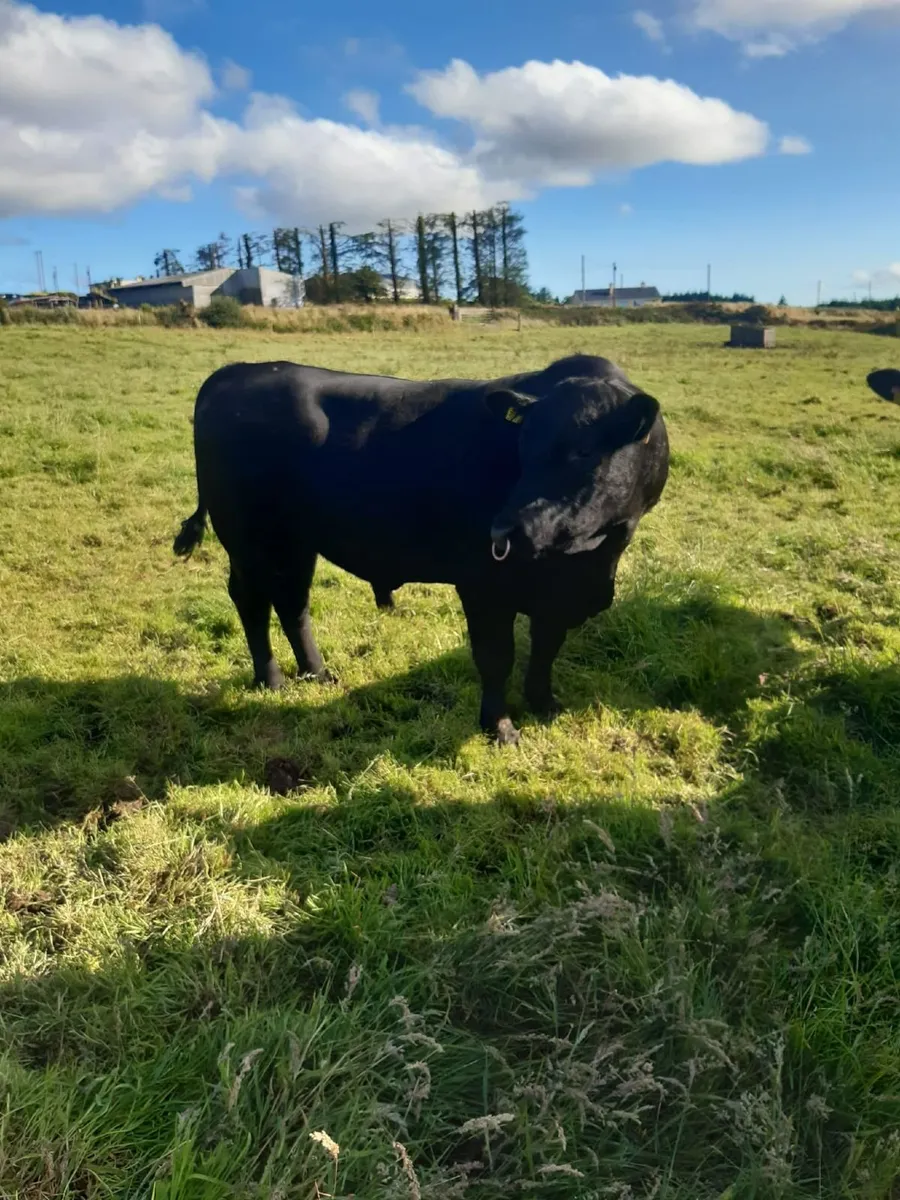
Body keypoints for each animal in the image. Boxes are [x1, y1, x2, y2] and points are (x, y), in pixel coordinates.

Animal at [173, 353, 669, 745]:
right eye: (523, 446)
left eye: (584, 451)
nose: (504, 531)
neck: (592, 559)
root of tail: (240, 370)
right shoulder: (483, 585)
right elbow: (496, 658)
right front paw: (500, 726)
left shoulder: (558, 595)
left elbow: (546, 648)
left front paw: (544, 704)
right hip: (249, 539)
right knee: (252, 602)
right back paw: (270, 678)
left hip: (296, 543)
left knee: (292, 603)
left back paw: (317, 672)